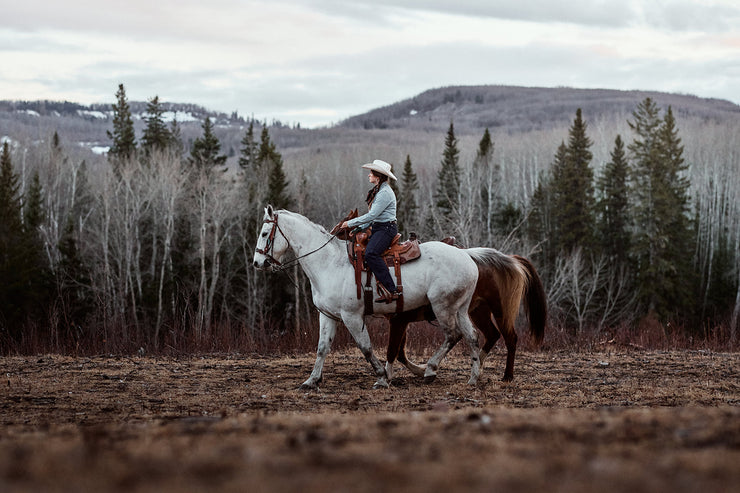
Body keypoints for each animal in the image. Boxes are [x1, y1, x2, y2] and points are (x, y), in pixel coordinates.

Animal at [251, 205, 482, 388]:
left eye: (264, 233)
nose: (257, 262)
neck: (329, 263)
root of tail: (466, 255)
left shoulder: (352, 316)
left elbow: (366, 348)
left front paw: (381, 378)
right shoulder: (328, 315)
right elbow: (322, 348)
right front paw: (311, 381)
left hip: (442, 306)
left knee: (453, 335)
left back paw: (430, 370)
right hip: (459, 309)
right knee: (472, 336)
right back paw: (473, 378)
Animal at [384, 248, 548, 382]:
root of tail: (507, 259)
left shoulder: (399, 320)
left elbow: (394, 350)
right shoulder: (400, 322)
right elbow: (399, 352)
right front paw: (419, 370)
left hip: (500, 311)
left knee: (510, 338)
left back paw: (507, 375)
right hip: (478, 311)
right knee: (492, 334)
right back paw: (478, 367)